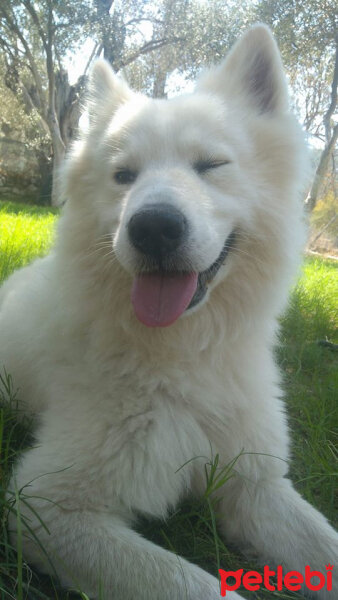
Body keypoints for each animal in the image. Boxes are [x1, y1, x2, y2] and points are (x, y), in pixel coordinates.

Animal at [0, 24, 338, 600]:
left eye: (212, 165)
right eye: (123, 175)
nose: (154, 228)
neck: (185, 354)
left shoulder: (256, 484)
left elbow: (324, 545)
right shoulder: (46, 504)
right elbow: (194, 584)